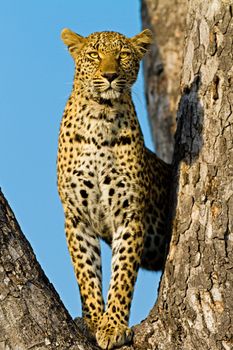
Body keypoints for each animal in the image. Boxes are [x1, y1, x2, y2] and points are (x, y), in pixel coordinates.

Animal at [57, 28, 171, 350]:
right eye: (94, 54)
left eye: (123, 55)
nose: (109, 75)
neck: (100, 118)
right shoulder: (77, 218)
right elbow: (86, 273)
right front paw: (94, 320)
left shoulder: (129, 215)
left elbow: (122, 276)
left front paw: (113, 326)